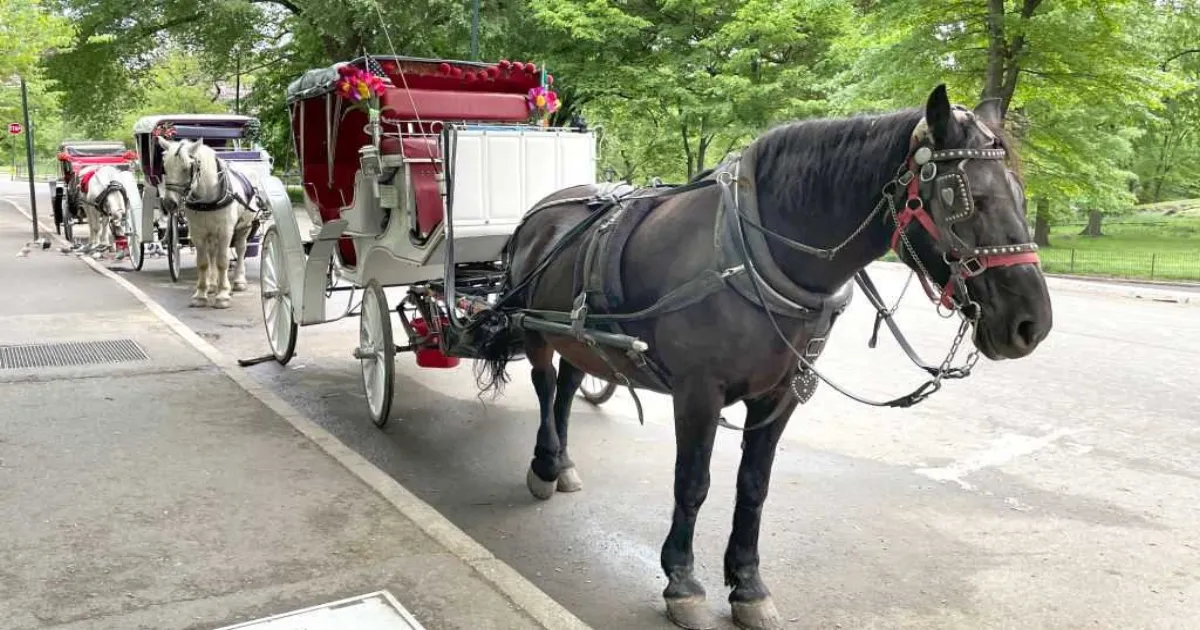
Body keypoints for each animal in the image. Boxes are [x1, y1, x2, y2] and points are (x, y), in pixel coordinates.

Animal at [156, 137, 261, 309]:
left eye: (187, 168)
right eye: (165, 168)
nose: (169, 204)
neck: (206, 199)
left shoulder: (225, 231)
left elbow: (223, 262)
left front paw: (223, 294)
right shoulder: (198, 232)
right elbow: (203, 262)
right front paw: (201, 294)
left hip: (244, 227)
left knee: (240, 249)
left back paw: (238, 281)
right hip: (211, 231)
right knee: (212, 253)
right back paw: (212, 285)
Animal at [473, 85, 1053, 630]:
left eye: (1021, 196)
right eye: (966, 199)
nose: (1033, 324)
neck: (756, 251)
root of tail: (540, 212)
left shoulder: (780, 395)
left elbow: (754, 486)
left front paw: (748, 586)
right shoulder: (698, 393)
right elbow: (693, 483)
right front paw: (682, 582)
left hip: (579, 335)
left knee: (570, 385)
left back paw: (564, 463)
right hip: (534, 330)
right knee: (546, 387)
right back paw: (544, 464)